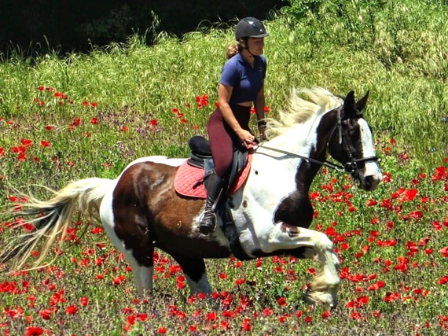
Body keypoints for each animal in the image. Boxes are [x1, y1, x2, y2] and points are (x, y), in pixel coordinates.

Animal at [0, 86, 382, 308]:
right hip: (139, 250)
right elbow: (325, 241)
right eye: (351, 132)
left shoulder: (286, 242)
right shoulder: (268, 236)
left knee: (202, 295)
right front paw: (325, 290)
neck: (286, 169)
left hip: (187, 253)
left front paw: (324, 293)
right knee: (145, 298)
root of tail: (112, 185)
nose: (373, 178)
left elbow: (325, 248)